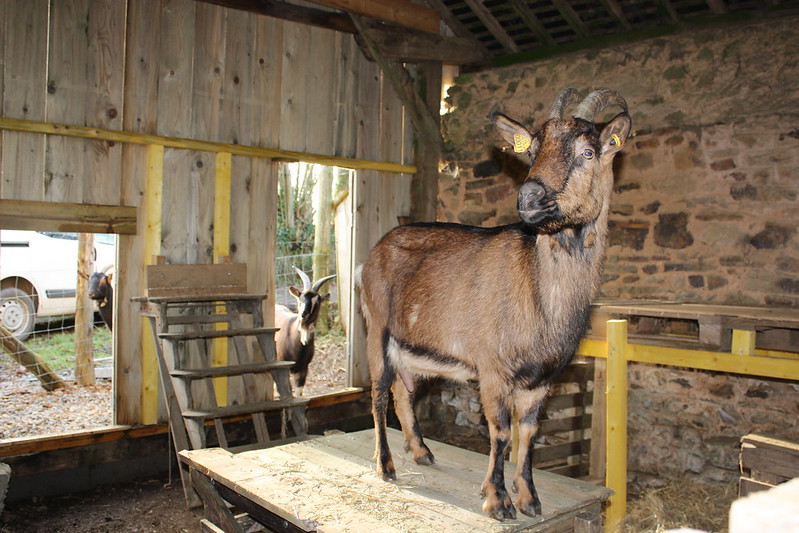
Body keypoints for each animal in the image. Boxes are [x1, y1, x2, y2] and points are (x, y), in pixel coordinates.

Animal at [360, 87, 632, 520]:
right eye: (533, 149)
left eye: (588, 151)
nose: (530, 197)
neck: (538, 292)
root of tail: (377, 248)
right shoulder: (494, 370)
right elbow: (501, 432)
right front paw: (498, 500)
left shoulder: (542, 378)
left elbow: (529, 433)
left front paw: (530, 499)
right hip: (377, 327)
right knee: (378, 393)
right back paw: (385, 465)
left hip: (410, 345)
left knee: (403, 391)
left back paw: (420, 452)